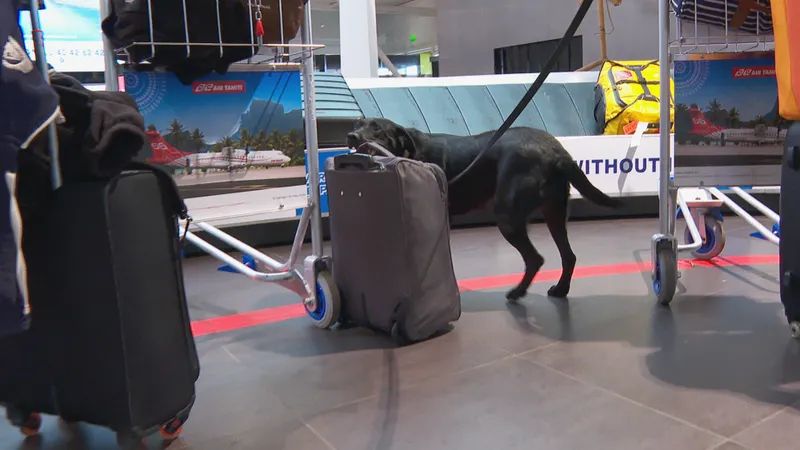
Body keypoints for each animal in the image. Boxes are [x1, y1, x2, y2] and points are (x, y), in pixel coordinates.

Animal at [347, 118, 620, 301]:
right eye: (358, 123)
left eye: (377, 128)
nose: (351, 135)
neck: (410, 151)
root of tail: (557, 152)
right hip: (554, 213)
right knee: (568, 256)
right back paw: (560, 289)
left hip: (508, 216)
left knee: (535, 258)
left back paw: (517, 292)